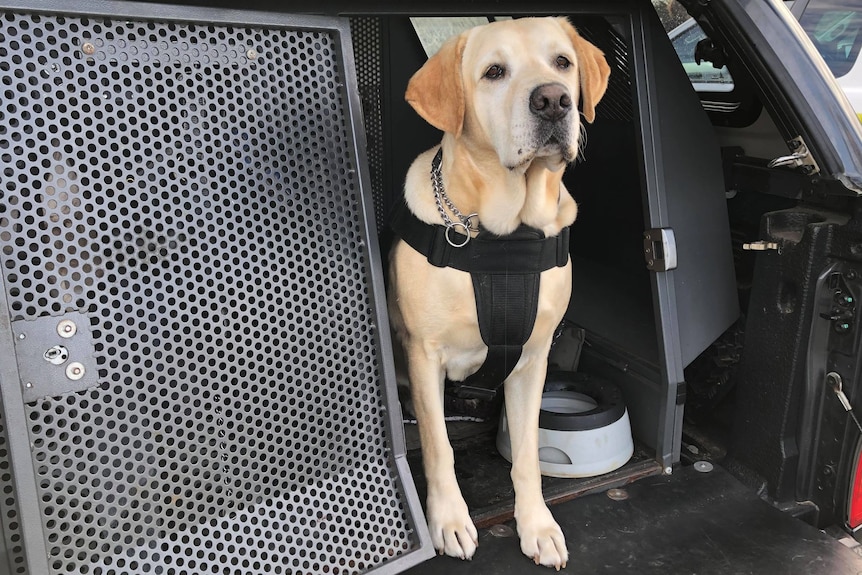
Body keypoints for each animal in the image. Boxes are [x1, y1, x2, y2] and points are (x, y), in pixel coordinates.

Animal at [388, 15, 612, 568]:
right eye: (494, 71)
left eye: (562, 62)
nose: (554, 100)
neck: (504, 236)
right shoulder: (424, 355)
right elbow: (440, 446)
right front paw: (449, 519)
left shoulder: (532, 358)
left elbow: (528, 453)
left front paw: (537, 525)